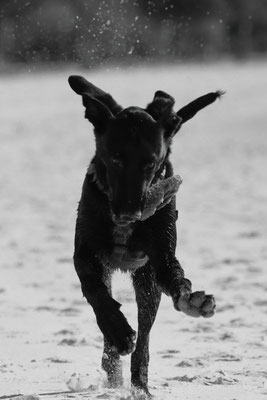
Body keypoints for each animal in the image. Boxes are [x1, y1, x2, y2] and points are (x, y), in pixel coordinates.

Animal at [69, 76, 222, 396]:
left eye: (150, 163)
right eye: (115, 159)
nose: (129, 212)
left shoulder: (159, 258)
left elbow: (176, 278)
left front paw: (192, 301)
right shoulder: (86, 255)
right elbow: (96, 292)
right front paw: (117, 329)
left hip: (145, 281)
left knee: (145, 340)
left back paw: (139, 386)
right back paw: (114, 360)